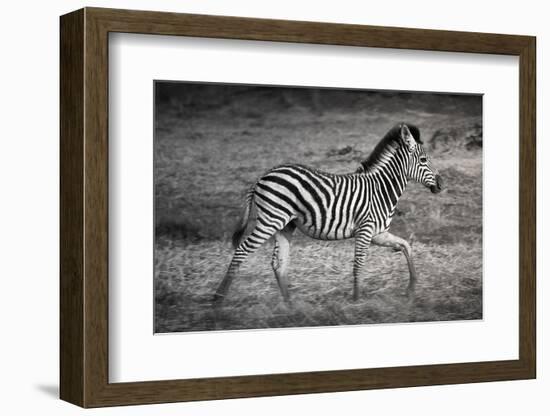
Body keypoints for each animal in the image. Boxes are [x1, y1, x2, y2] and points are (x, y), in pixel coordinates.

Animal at [213, 122, 446, 302]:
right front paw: (356, 301)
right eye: (424, 161)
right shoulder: (365, 230)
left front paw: (411, 288)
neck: (381, 189)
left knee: (278, 263)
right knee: (242, 251)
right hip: (271, 220)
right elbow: (358, 265)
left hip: (284, 225)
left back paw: (290, 305)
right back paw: (218, 299)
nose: (442, 184)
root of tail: (262, 177)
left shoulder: (378, 233)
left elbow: (406, 246)